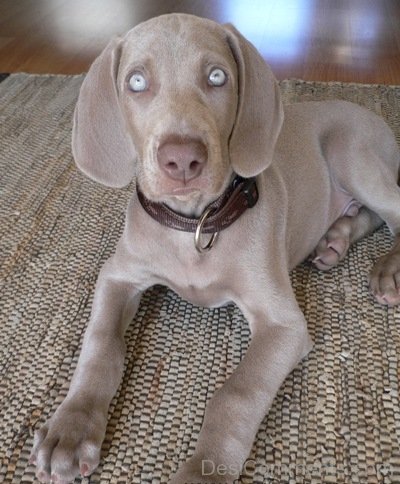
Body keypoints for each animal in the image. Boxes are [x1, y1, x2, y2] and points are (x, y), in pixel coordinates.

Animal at [30, 13, 400, 482]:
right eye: (136, 82)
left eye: (217, 77)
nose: (182, 160)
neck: (195, 225)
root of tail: (373, 116)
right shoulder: (117, 274)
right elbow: (100, 344)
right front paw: (72, 426)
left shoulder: (283, 323)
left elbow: (236, 394)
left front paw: (203, 471)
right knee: (368, 213)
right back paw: (334, 239)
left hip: (351, 150)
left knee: (393, 210)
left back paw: (386, 268)